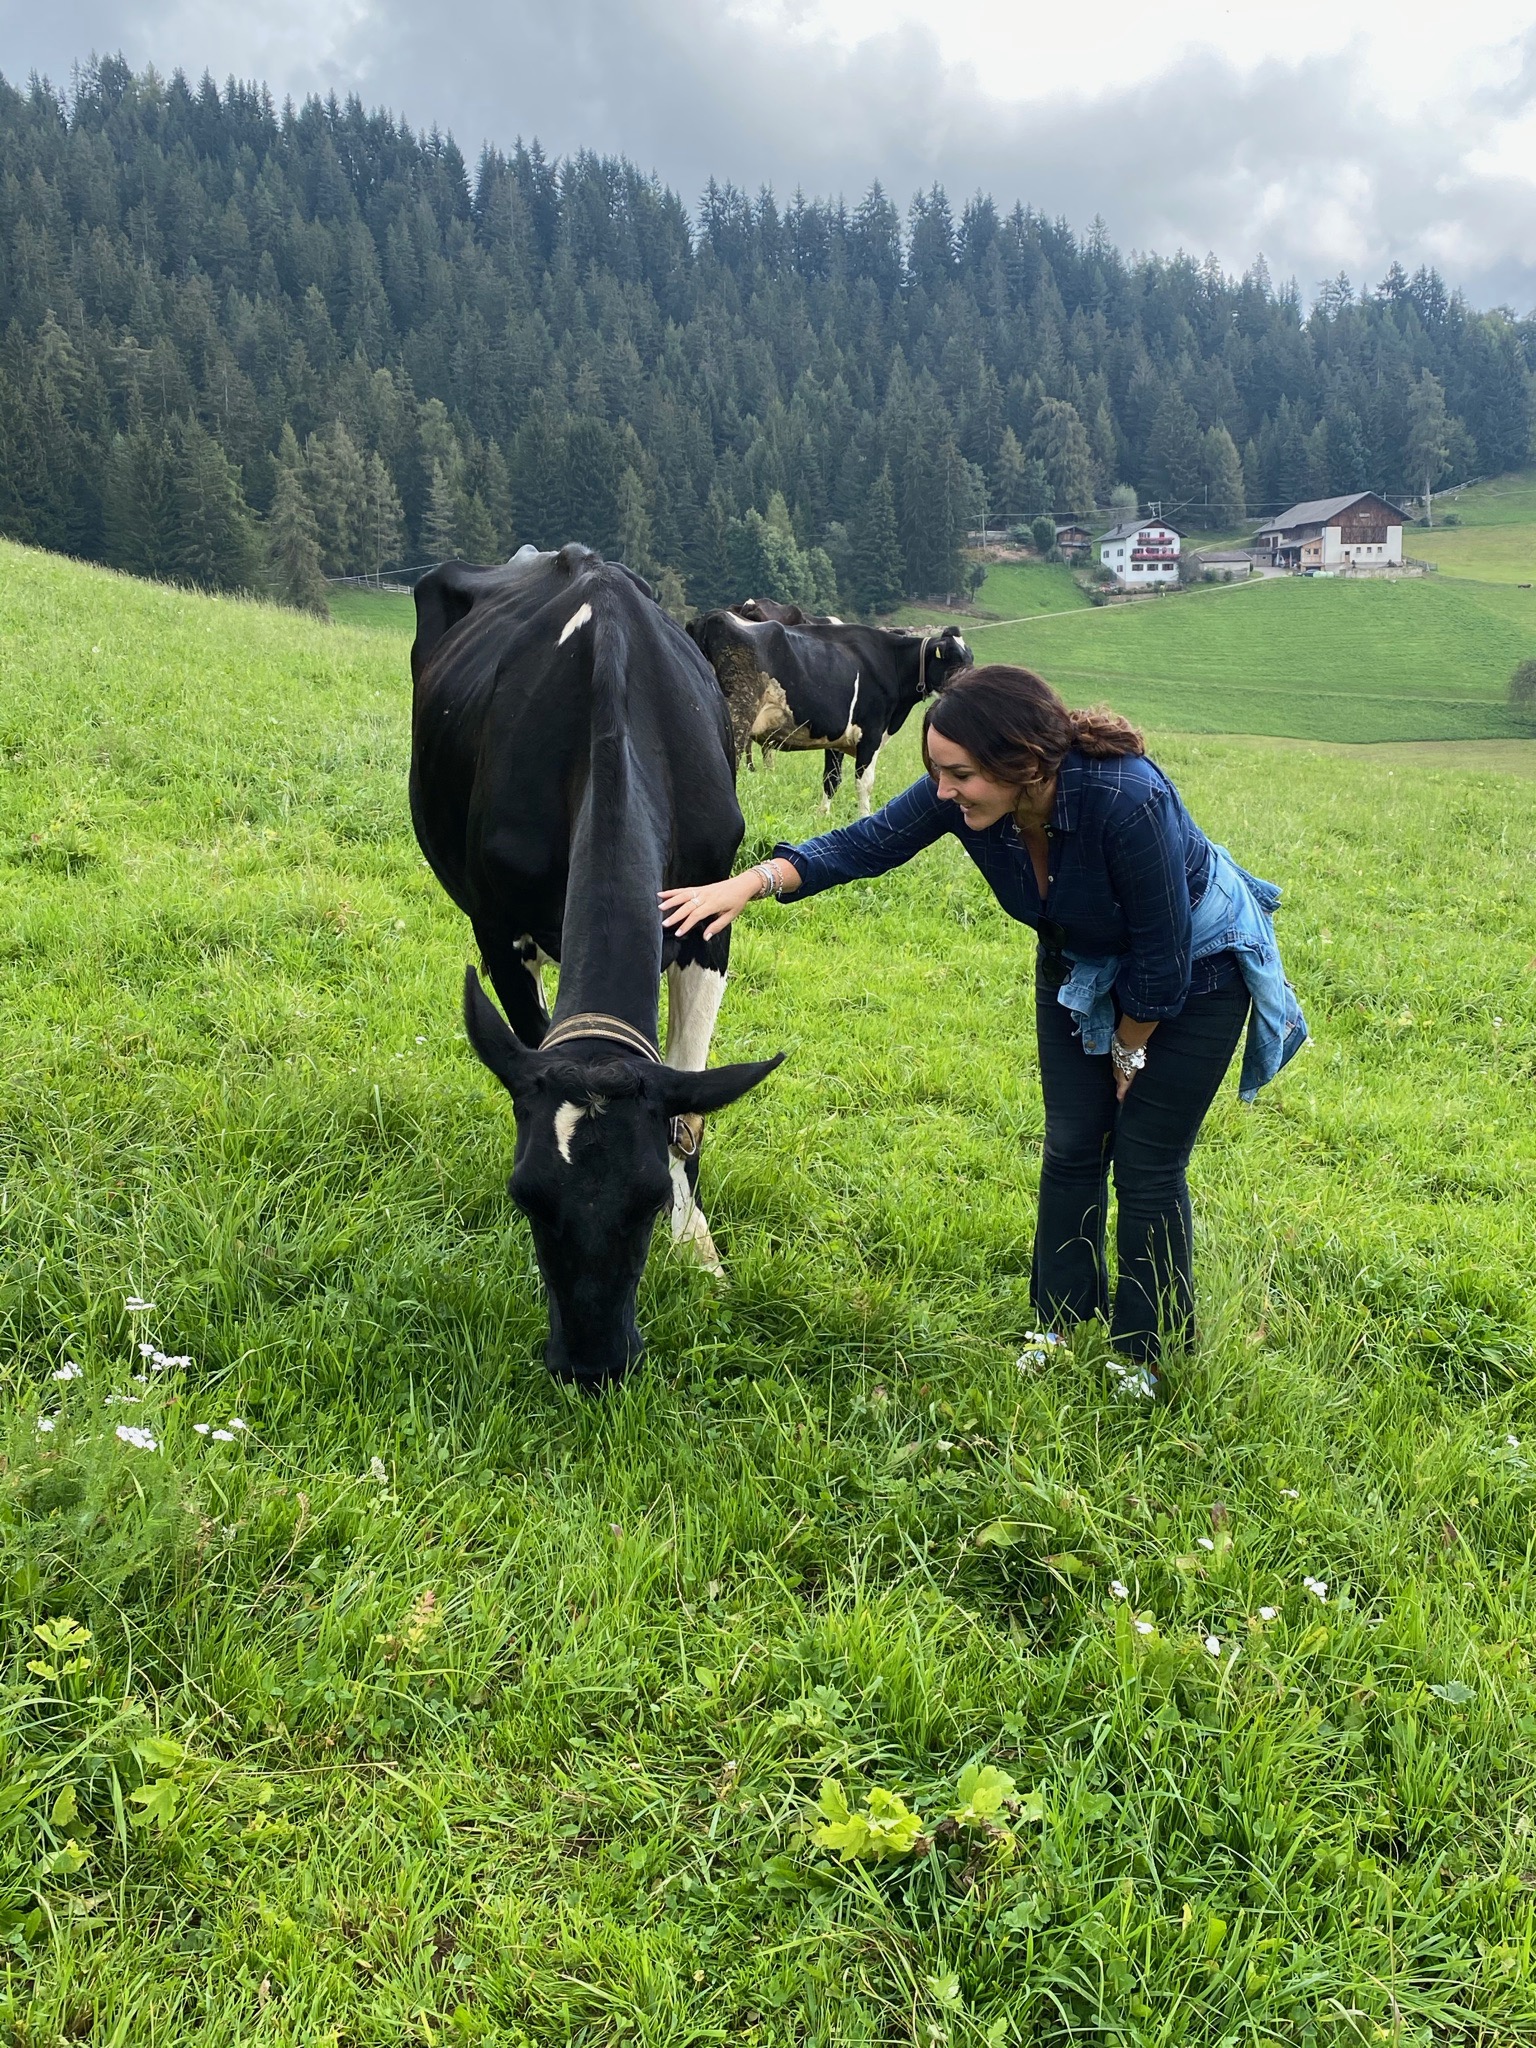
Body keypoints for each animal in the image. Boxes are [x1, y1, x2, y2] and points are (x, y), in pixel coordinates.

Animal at [411, 540, 782, 1392]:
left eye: (645, 1202)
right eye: (525, 1198)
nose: (591, 1366)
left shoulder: (710, 916)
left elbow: (689, 1106)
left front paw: (697, 1248)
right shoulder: (497, 931)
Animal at [688, 614, 974, 815]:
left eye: (970, 658)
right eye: (953, 659)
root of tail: (709, 618)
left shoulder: (838, 739)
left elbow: (831, 779)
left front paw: (822, 815)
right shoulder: (870, 734)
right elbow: (864, 782)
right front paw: (864, 817)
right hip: (738, 715)